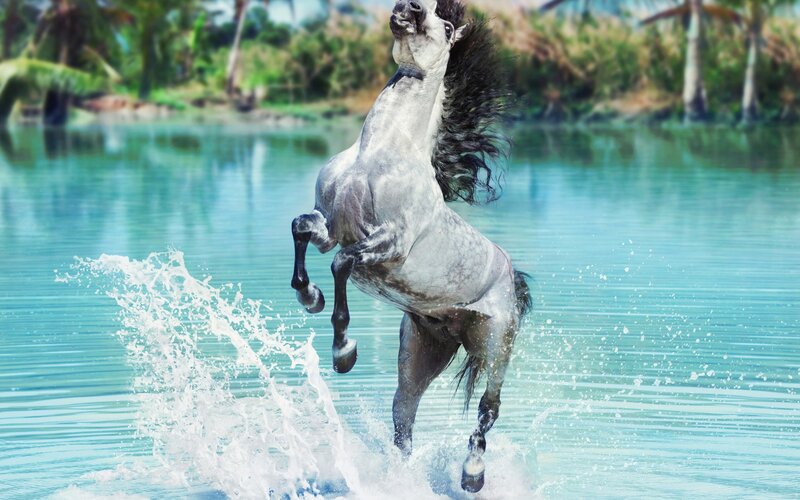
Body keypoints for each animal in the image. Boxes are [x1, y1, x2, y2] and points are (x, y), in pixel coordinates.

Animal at [290, 0, 531, 492]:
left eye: (445, 25)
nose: (407, 10)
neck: (377, 155)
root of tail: (512, 274)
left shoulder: (389, 243)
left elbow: (342, 264)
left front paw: (344, 351)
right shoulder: (330, 225)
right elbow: (301, 228)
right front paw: (309, 297)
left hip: (496, 346)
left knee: (488, 408)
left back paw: (472, 475)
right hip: (421, 352)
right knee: (405, 416)